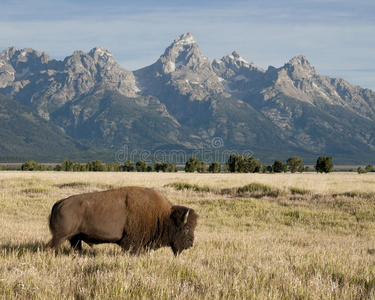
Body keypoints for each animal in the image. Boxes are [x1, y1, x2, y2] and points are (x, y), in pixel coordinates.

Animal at [46, 185, 200, 255]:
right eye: (187, 228)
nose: (190, 244)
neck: (162, 216)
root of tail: (60, 203)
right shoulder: (131, 243)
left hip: (75, 238)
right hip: (60, 237)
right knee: (49, 247)